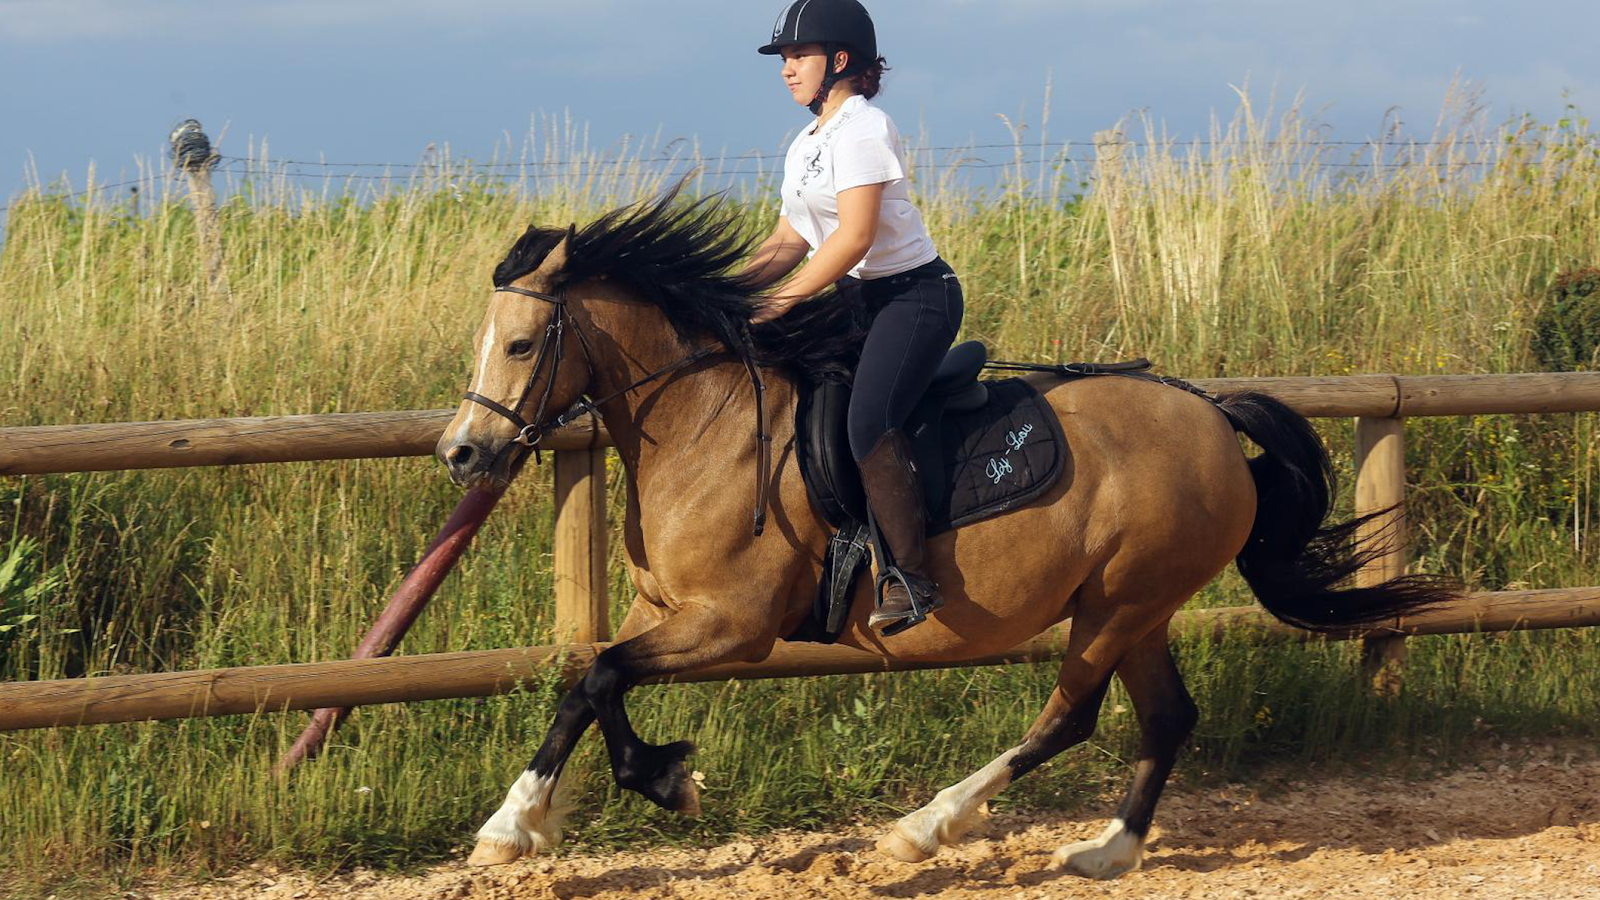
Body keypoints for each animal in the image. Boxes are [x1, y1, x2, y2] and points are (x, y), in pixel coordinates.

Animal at [434, 188, 1453, 879]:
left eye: (520, 345)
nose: (462, 452)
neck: (705, 421)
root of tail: (1210, 414)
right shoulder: (671, 614)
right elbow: (588, 679)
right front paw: (527, 821)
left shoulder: (733, 625)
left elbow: (601, 678)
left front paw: (635, 787)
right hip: (1140, 606)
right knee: (1165, 717)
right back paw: (1105, 853)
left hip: (1120, 602)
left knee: (1071, 715)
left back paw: (928, 827)